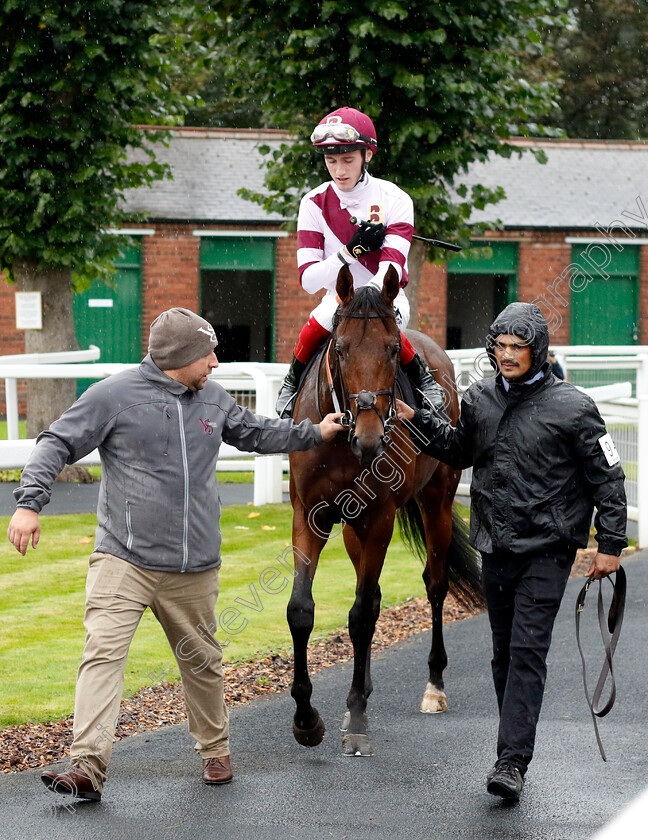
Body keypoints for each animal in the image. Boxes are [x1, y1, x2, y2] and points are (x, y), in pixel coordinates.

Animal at [286, 266, 484, 756]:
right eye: (338, 348)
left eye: (394, 349)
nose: (370, 437)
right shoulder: (309, 515)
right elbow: (302, 610)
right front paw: (306, 719)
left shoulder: (379, 518)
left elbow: (360, 616)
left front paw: (358, 719)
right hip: (352, 529)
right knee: (371, 595)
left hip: (436, 503)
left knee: (434, 585)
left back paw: (433, 687)